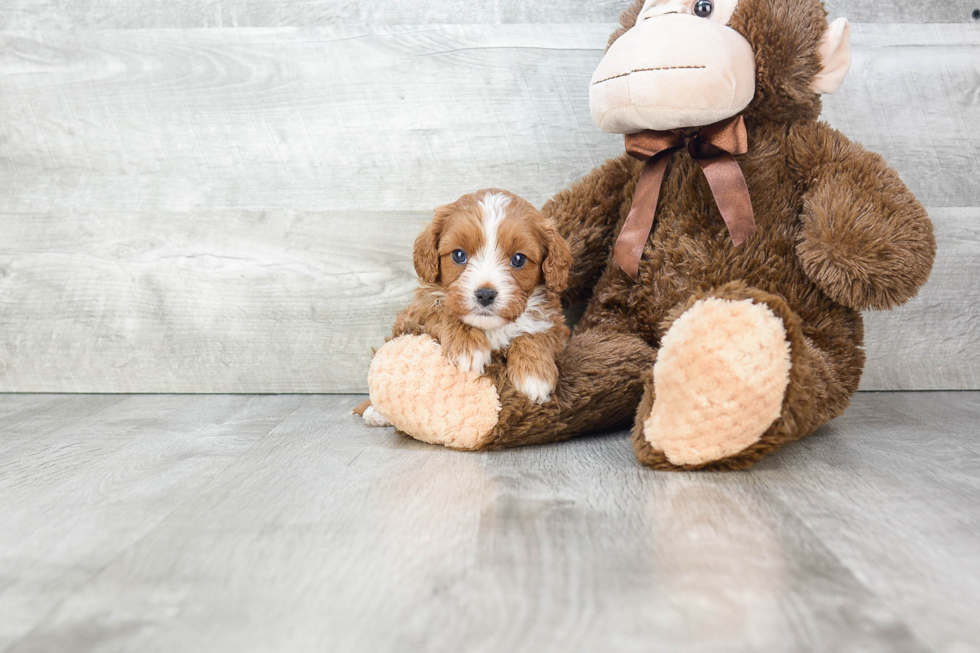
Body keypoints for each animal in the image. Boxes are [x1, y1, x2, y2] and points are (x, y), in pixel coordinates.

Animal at [360, 186, 576, 426]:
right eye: (459, 255)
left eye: (519, 259)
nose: (485, 294)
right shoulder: (417, 312)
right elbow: (442, 310)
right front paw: (468, 347)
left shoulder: (556, 327)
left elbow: (535, 334)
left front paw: (534, 374)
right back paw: (375, 413)